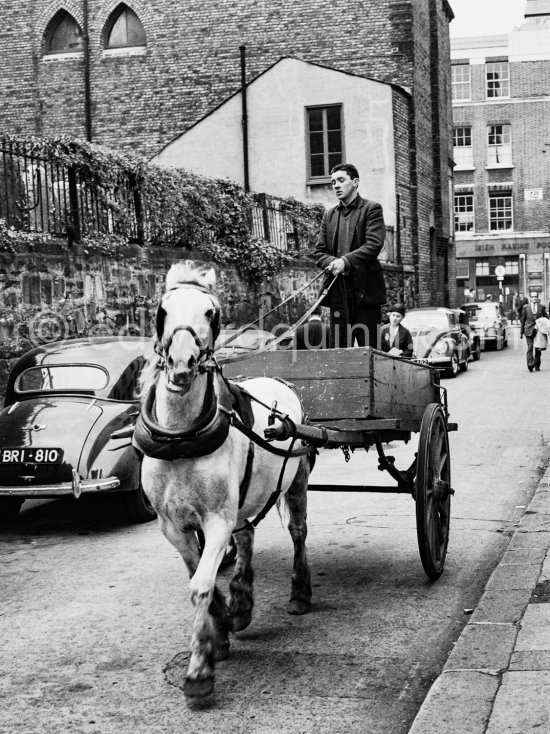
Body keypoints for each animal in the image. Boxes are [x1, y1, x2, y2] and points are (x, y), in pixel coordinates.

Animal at [137, 264, 314, 700]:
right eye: (162, 310)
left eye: (211, 313)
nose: (181, 365)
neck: (180, 438)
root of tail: (279, 380)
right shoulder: (173, 526)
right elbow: (198, 574)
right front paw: (220, 630)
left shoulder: (216, 520)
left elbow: (200, 584)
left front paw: (200, 666)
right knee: (247, 536)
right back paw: (242, 601)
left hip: (297, 479)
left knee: (298, 532)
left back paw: (300, 593)